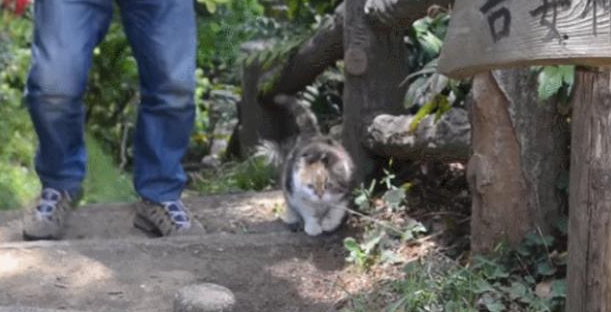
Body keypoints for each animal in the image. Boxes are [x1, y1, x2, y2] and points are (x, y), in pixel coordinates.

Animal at [274, 95, 356, 236]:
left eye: (328, 185)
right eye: (310, 186)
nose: (319, 195)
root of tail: (312, 134)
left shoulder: (344, 193)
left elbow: (336, 210)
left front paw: (329, 224)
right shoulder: (298, 195)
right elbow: (308, 212)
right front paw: (313, 228)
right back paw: (291, 218)